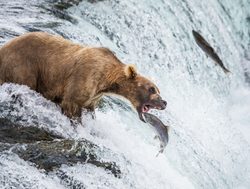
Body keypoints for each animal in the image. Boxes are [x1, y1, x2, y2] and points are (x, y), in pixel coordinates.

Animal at [0, 31, 168, 122]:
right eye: (152, 89)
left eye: (158, 90)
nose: (164, 102)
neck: (106, 80)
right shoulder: (82, 78)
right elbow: (71, 105)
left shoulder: (93, 97)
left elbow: (89, 110)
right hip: (23, 65)